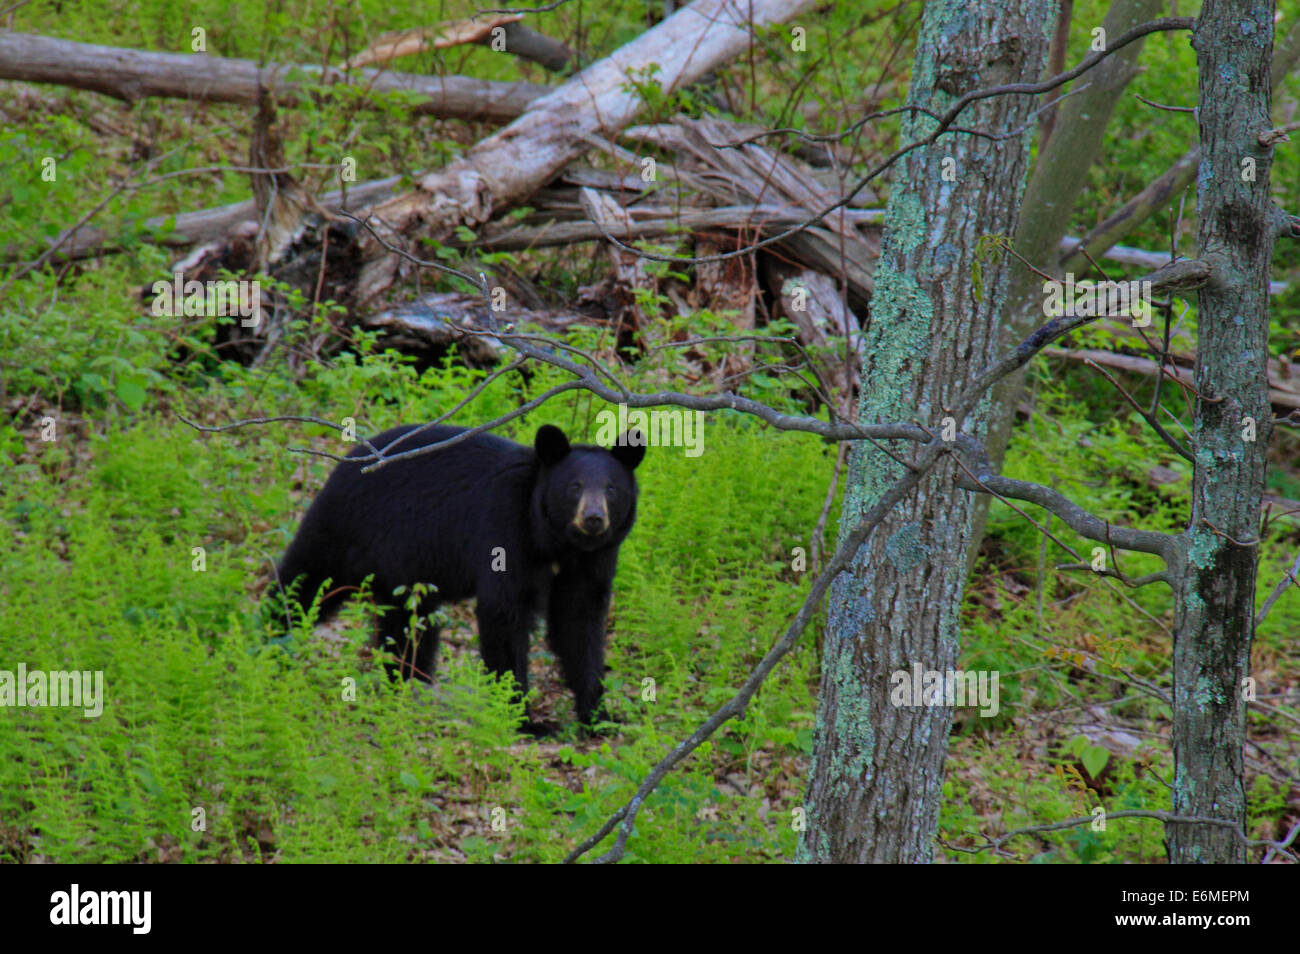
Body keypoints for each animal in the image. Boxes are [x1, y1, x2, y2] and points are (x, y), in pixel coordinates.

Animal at [275, 421, 644, 727]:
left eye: (611, 488)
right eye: (574, 486)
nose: (593, 518)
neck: (555, 542)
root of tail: (350, 460)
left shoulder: (592, 559)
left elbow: (579, 621)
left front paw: (599, 715)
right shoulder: (505, 529)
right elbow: (504, 612)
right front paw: (522, 717)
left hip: (406, 572)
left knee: (409, 628)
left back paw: (410, 685)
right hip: (345, 528)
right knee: (302, 581)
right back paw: (273, 642)